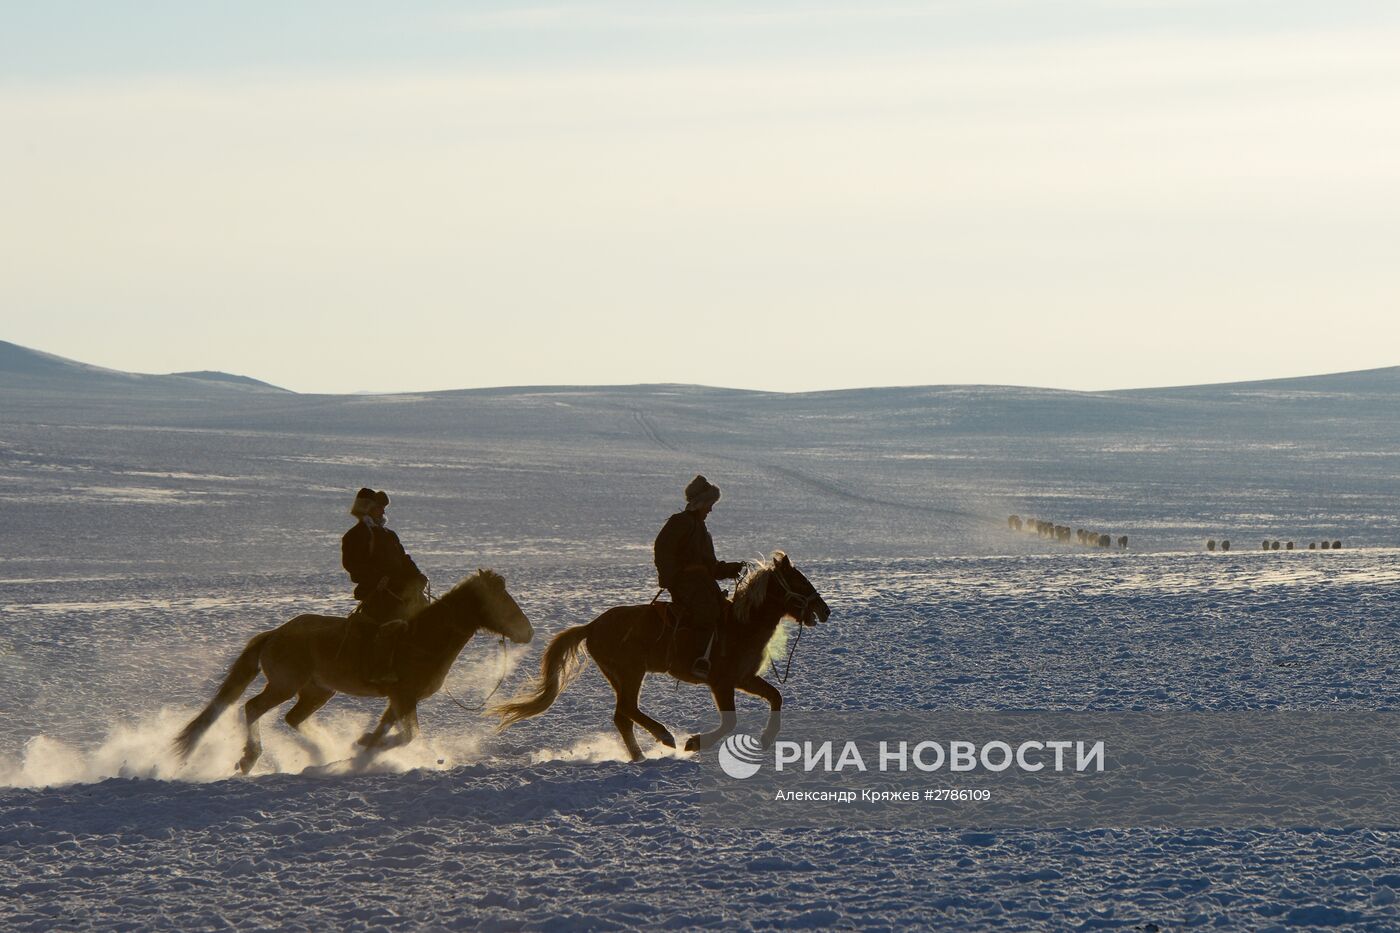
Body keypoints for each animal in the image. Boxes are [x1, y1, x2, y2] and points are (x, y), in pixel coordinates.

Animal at [170, 565, 529, 767]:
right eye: (502, 599)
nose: (528, 631)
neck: (423, 640)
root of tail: (275, 634)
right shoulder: (404, 697)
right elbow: (407, 736)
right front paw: (369, 745)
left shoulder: (398, 699)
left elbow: (388, 729)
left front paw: (365, 747)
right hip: (284, 685)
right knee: (252, 708)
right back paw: (249, 757)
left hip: (317, 691)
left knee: (292, 718)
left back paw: (319, 752)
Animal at [495, 551, 823, 756]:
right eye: (800, 581)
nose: (825, 610)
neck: (742, 625)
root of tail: (591, 626)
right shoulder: (721, 683)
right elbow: (730, 722)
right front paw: (694, 743)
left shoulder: (744, 679)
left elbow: (776, 697)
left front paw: (766, 740)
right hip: (630, 672)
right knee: (627, 709)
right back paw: (664, 737)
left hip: (620, 675)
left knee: (623, 716)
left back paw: (640, 755)